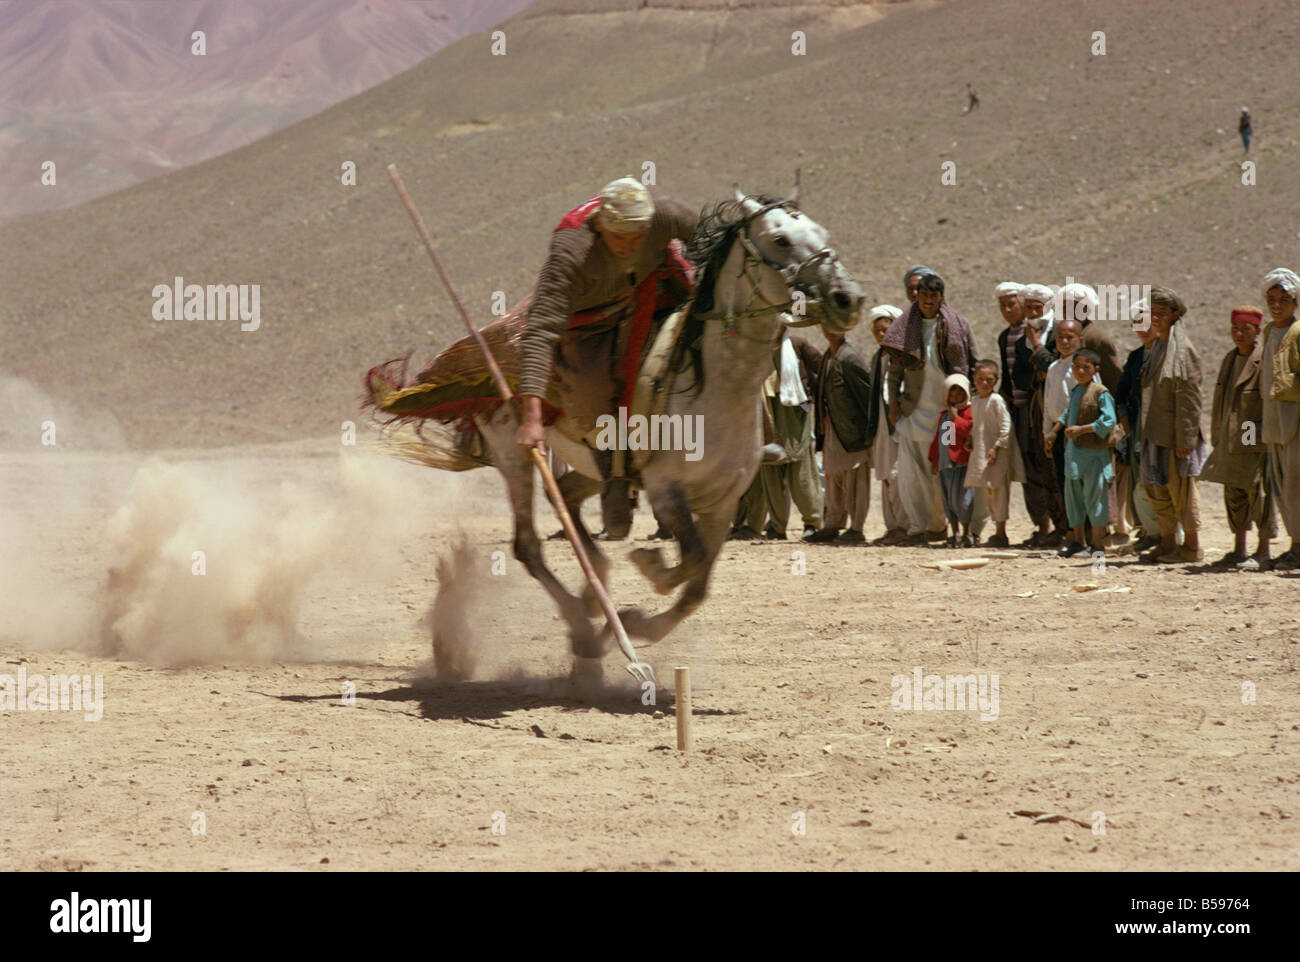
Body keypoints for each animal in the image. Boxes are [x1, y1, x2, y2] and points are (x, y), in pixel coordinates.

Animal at [366, 176, 863, 681]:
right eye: (780, 239)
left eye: (821, 232)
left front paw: (635, 620)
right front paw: (644, 576)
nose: (848, 299)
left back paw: (594, 597)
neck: (718, 386)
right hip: (516, 456)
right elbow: (688, 563)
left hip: (593, 465)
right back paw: (584, 625)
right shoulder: (666, 488)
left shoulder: (723, 502)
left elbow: (697, 586)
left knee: (568, 503)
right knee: (528, 545)